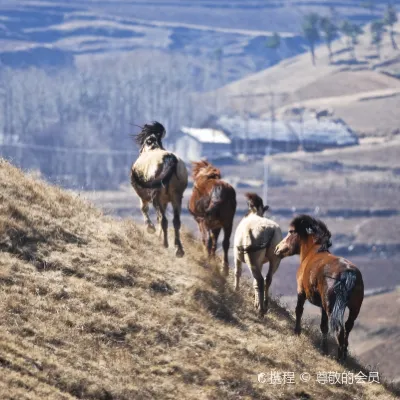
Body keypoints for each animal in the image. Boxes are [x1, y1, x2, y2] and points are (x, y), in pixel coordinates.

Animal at [130, 121, 188, 256]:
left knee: (164, 220)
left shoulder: (146, 196)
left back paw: (165, 244)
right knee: (175, 221)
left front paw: (150, 228)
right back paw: (178, 249)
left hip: (159, 197)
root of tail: (169, 159)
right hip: (176, 197)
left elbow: (144, 209)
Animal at [274, 214, 364, 360]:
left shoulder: (301, 292)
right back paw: (344, 354)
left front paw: (297, 332)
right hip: (354, 308)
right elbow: (323, 326)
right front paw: (324, 348)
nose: (277, 248)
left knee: (339, 330)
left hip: (332, 308)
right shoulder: (322, 306)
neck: (313, 252)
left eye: (290, 232)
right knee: (348, 327)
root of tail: (348, 273)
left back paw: (340, 358)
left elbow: (299, 310)